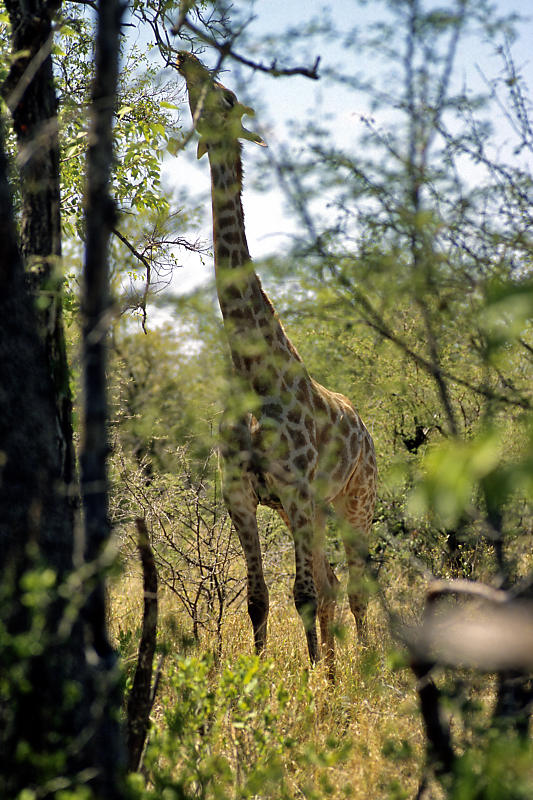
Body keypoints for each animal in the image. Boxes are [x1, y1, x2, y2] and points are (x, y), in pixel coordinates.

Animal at [177, 51, 376, 676]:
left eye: (226, 95)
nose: (184, 57)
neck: (249, 372)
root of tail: (367, 429)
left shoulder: (294, 487)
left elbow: (302, 594)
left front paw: (313, 685)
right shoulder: (243, 494)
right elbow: (261, 599)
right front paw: (262, 681)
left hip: (355, 501)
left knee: (355, 586)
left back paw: (363, 668)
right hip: (313, 511)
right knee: (333, 583)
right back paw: (336, 669)